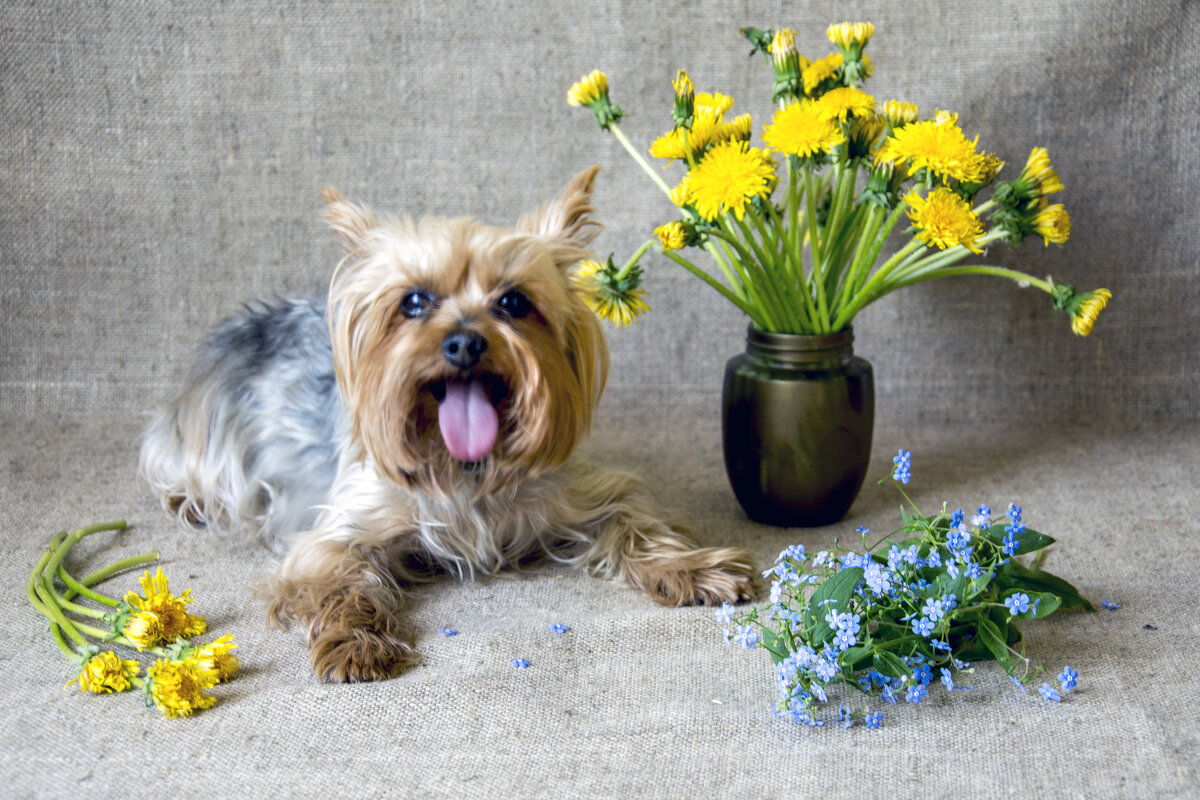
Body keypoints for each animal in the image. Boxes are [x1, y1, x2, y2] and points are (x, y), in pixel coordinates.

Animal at [142, 167, 748, 681]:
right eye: (413, 301)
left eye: (514, 302)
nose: (465, 342)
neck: (465, 467)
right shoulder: (338, 531)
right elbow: (335, 580)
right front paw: (355, 643)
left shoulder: (582, 492)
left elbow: (637, 520)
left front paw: (694, 569)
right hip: (205, 444)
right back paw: (188, 502)